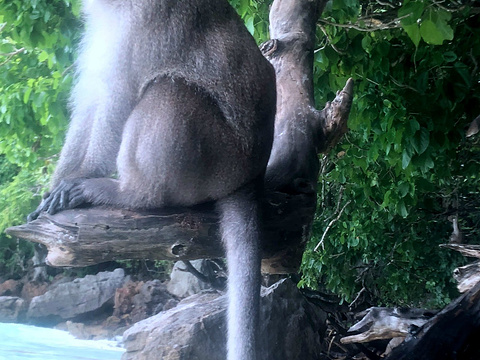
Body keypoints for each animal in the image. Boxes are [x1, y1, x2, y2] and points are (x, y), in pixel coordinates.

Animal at [29, 1, 278, 358]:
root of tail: (250, 175)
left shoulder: (147, 22)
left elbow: (117, 97)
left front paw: (83, 175)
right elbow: (92, 96)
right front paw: (55, 187)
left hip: (220, 160)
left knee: (169, 90)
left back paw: (131, 193)